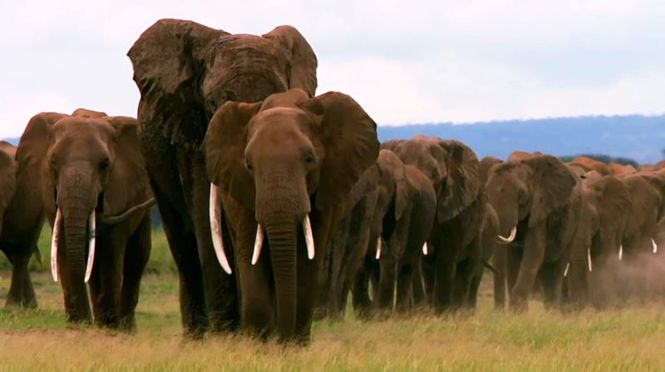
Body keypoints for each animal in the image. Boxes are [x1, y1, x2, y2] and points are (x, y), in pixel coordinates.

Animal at [17, 109, 154, 330]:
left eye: (105, 165)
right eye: (53, 162)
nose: (84, 323)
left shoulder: (120, 188)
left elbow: (112, 251)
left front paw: (110, 327)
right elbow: (64, 246)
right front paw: (79, 324)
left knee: (137, 255)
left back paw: (124, 328)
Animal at [129, 19, 320, 338]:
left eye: (276, 97)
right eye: (213, 102)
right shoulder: (194, 134)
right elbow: (208, 223)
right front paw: (226, 335)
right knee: (184, 244)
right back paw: (197, 337)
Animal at [202, 88, 378, 342]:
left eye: (310, 159)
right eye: (248, 166)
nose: (282, 339)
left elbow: (307, 261)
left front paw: (292, 344)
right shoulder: (243, 190)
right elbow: (251, 255)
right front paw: (259, 344)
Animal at [382, 135, 486, 312]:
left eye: (435, 174)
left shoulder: (455, 206)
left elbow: (446, 254)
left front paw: (442, 313)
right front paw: (421, 312)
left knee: (466, 267)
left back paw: (458, 311)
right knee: (428, 268)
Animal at [482, 151, 580, 310]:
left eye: (521, 196)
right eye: (486, 195)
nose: (499, 312)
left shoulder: (540, 209)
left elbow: (533, 254)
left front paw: (517, 309)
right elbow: (513, 260)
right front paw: (518, 312)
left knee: (556, 268)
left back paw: (553, 312)